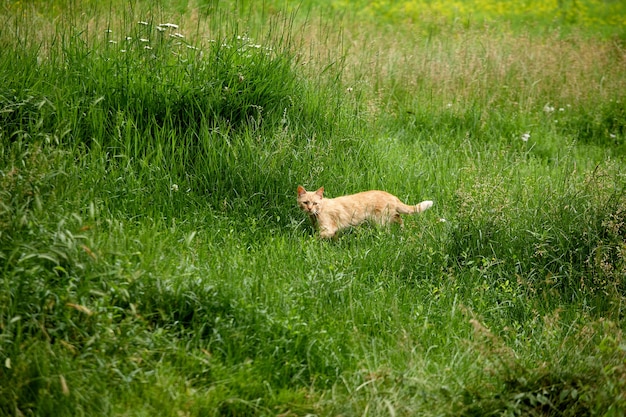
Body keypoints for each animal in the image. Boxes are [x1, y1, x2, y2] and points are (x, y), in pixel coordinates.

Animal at [294, 184, 432, 237]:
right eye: (305, 203)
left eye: (315, 203)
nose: (310, 208)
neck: (316, 214)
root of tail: (392, 196)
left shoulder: (327, 230)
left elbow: (315, 239)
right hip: (389, 217)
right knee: (399, 218)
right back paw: (403, 231)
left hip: (380, 222)